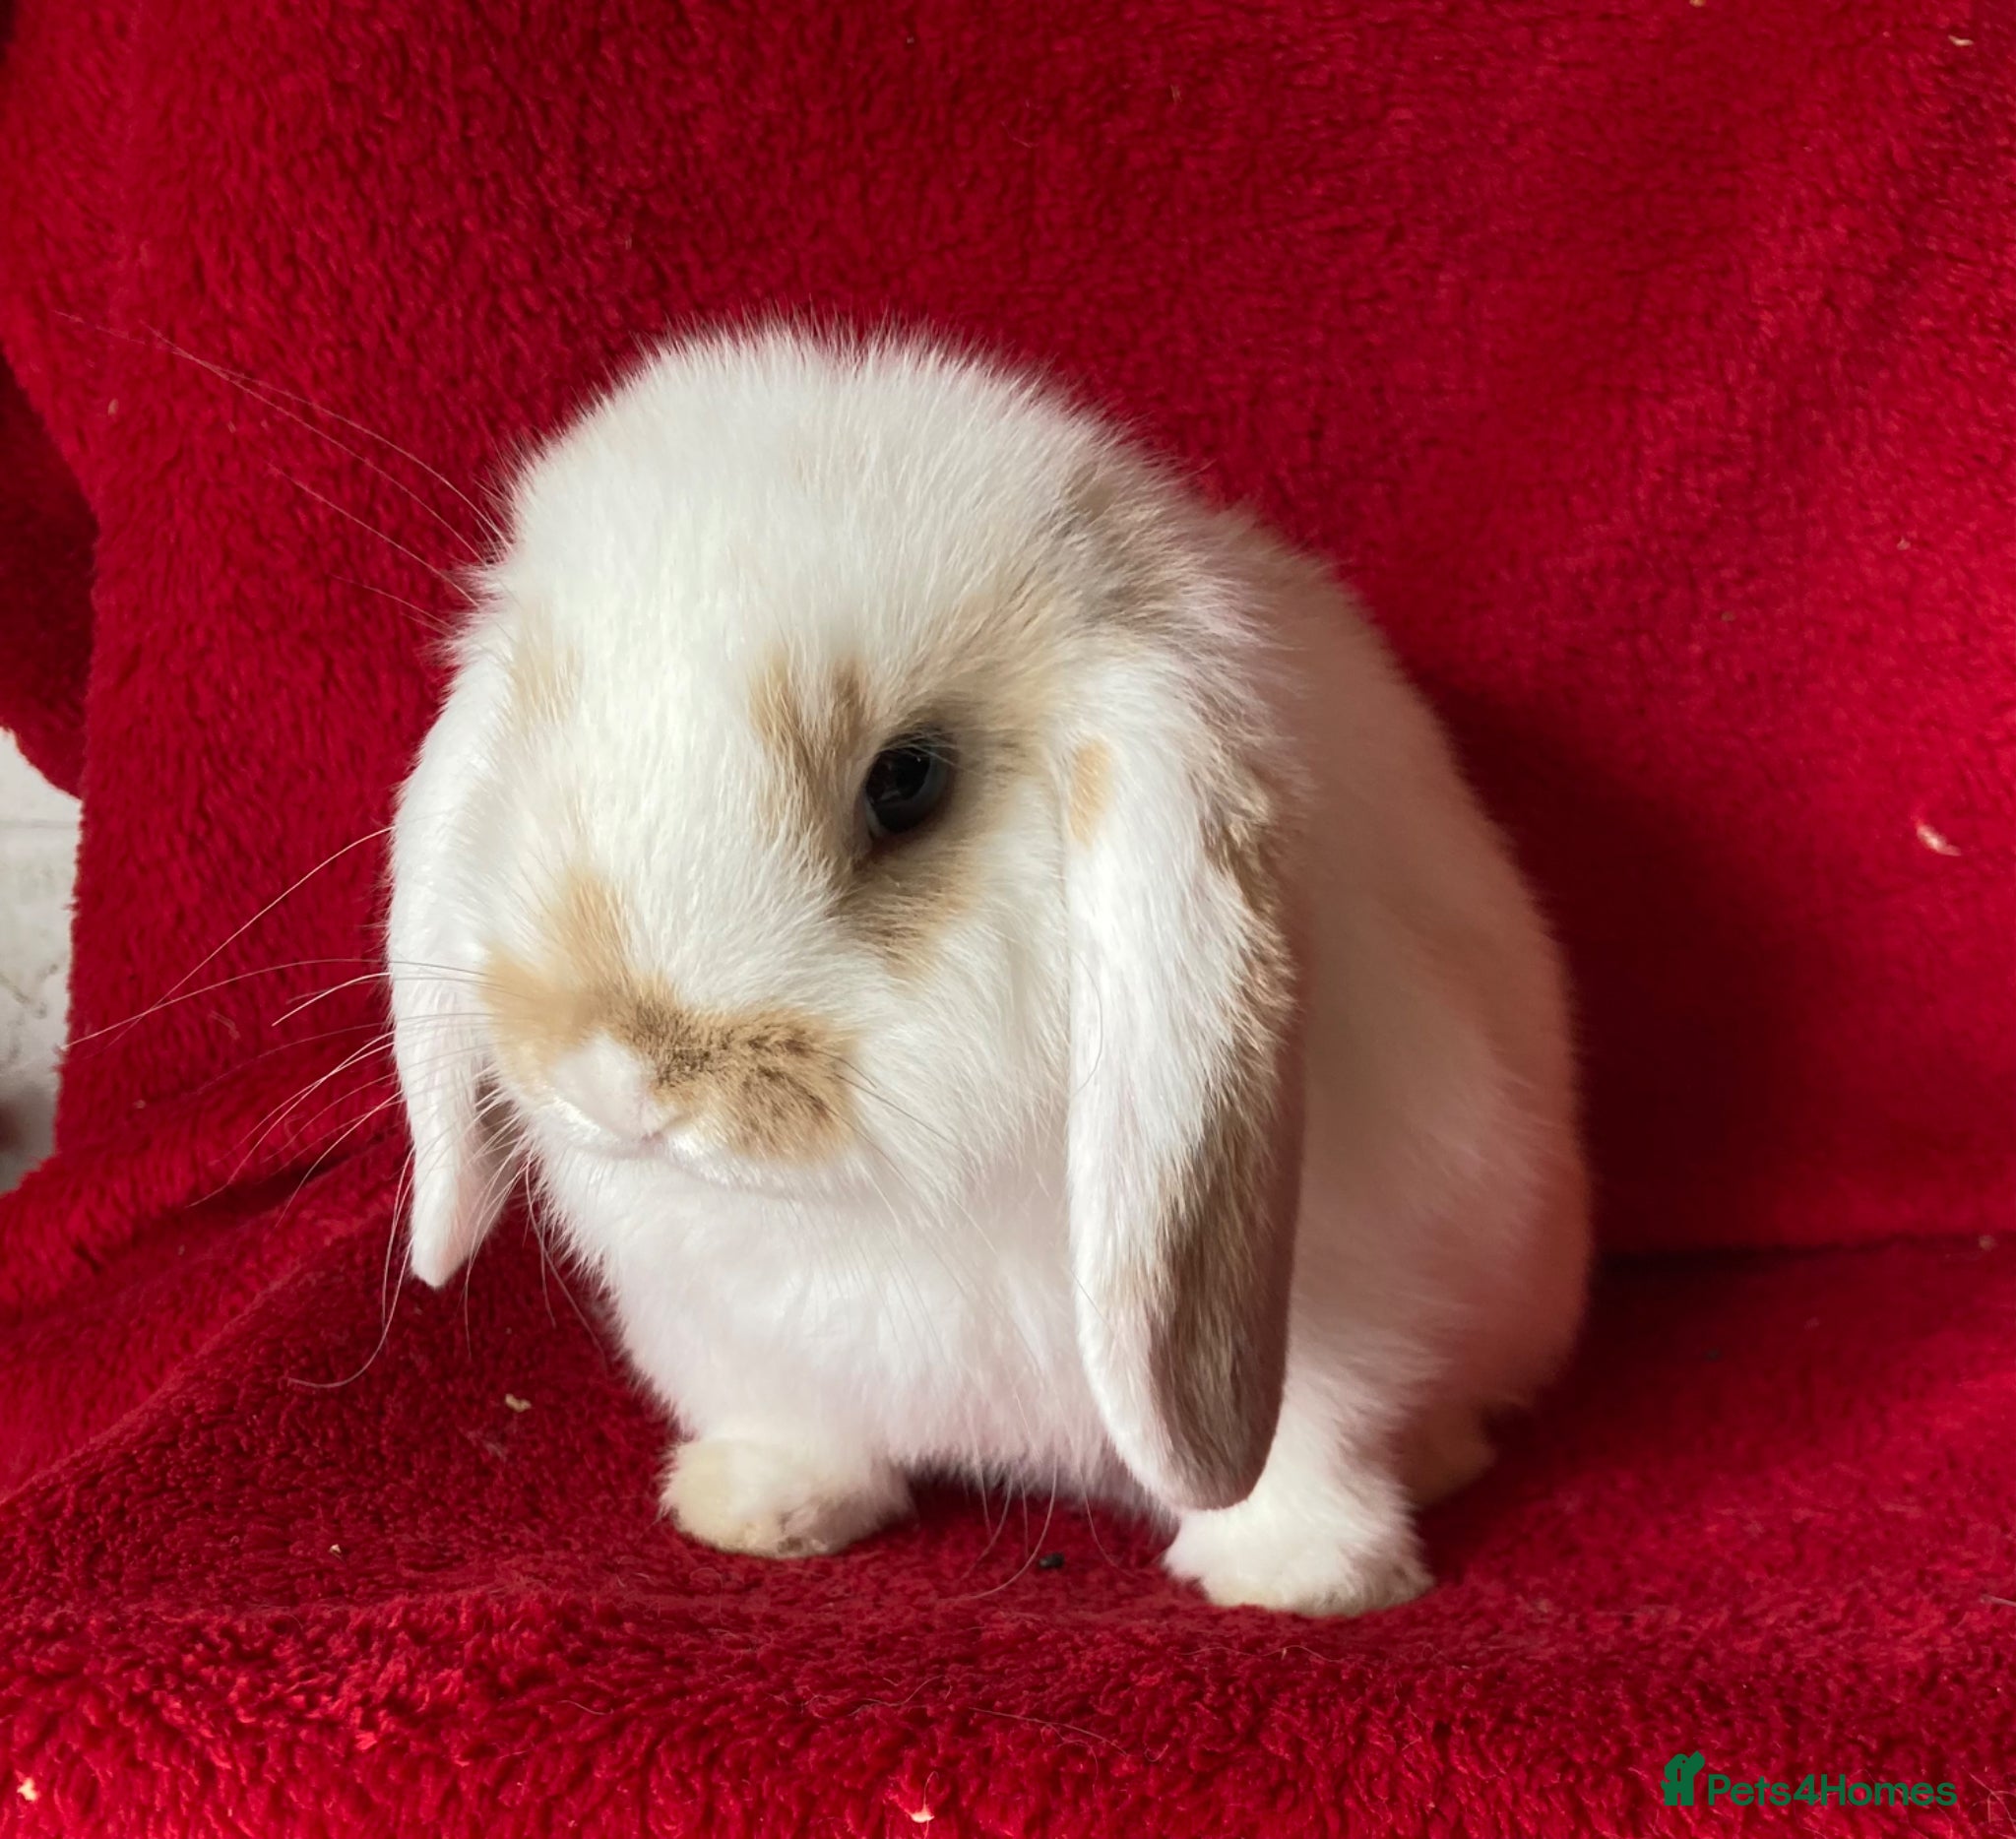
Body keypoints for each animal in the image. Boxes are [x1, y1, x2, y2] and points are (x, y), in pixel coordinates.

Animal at [387, 325, 1590, 1617]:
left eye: (907, 781)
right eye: (539, 714)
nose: (616, 1077)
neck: (874, 1206)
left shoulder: (1344, 1313)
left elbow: (1312, 1441)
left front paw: (1300, 1578)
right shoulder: (729, 1329)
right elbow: (791, 1420)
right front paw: (757, 1509)